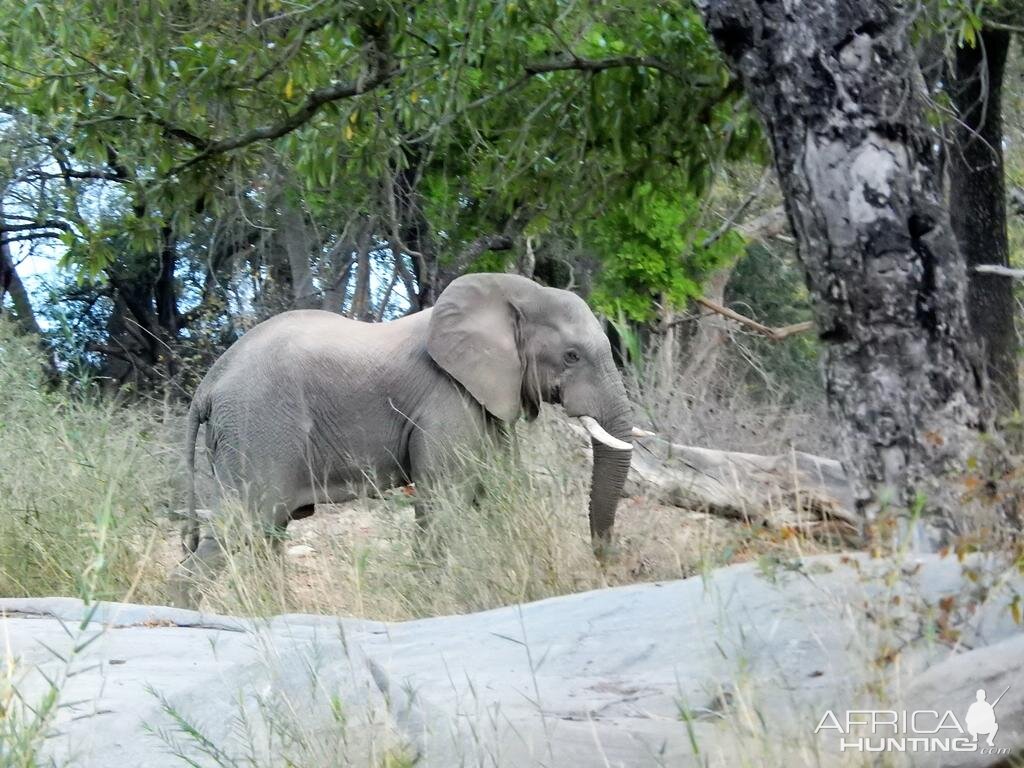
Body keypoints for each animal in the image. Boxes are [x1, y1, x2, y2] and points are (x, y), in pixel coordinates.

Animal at [180, 274, 634, 598]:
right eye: (571, 356)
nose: (604, 563)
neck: (511, 294)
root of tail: (207, 386)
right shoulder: (446, 398)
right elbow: (443, 504)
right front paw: (431, 604)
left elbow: (500, 492)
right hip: (256, 427)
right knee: (243, 526)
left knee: (266, 534)